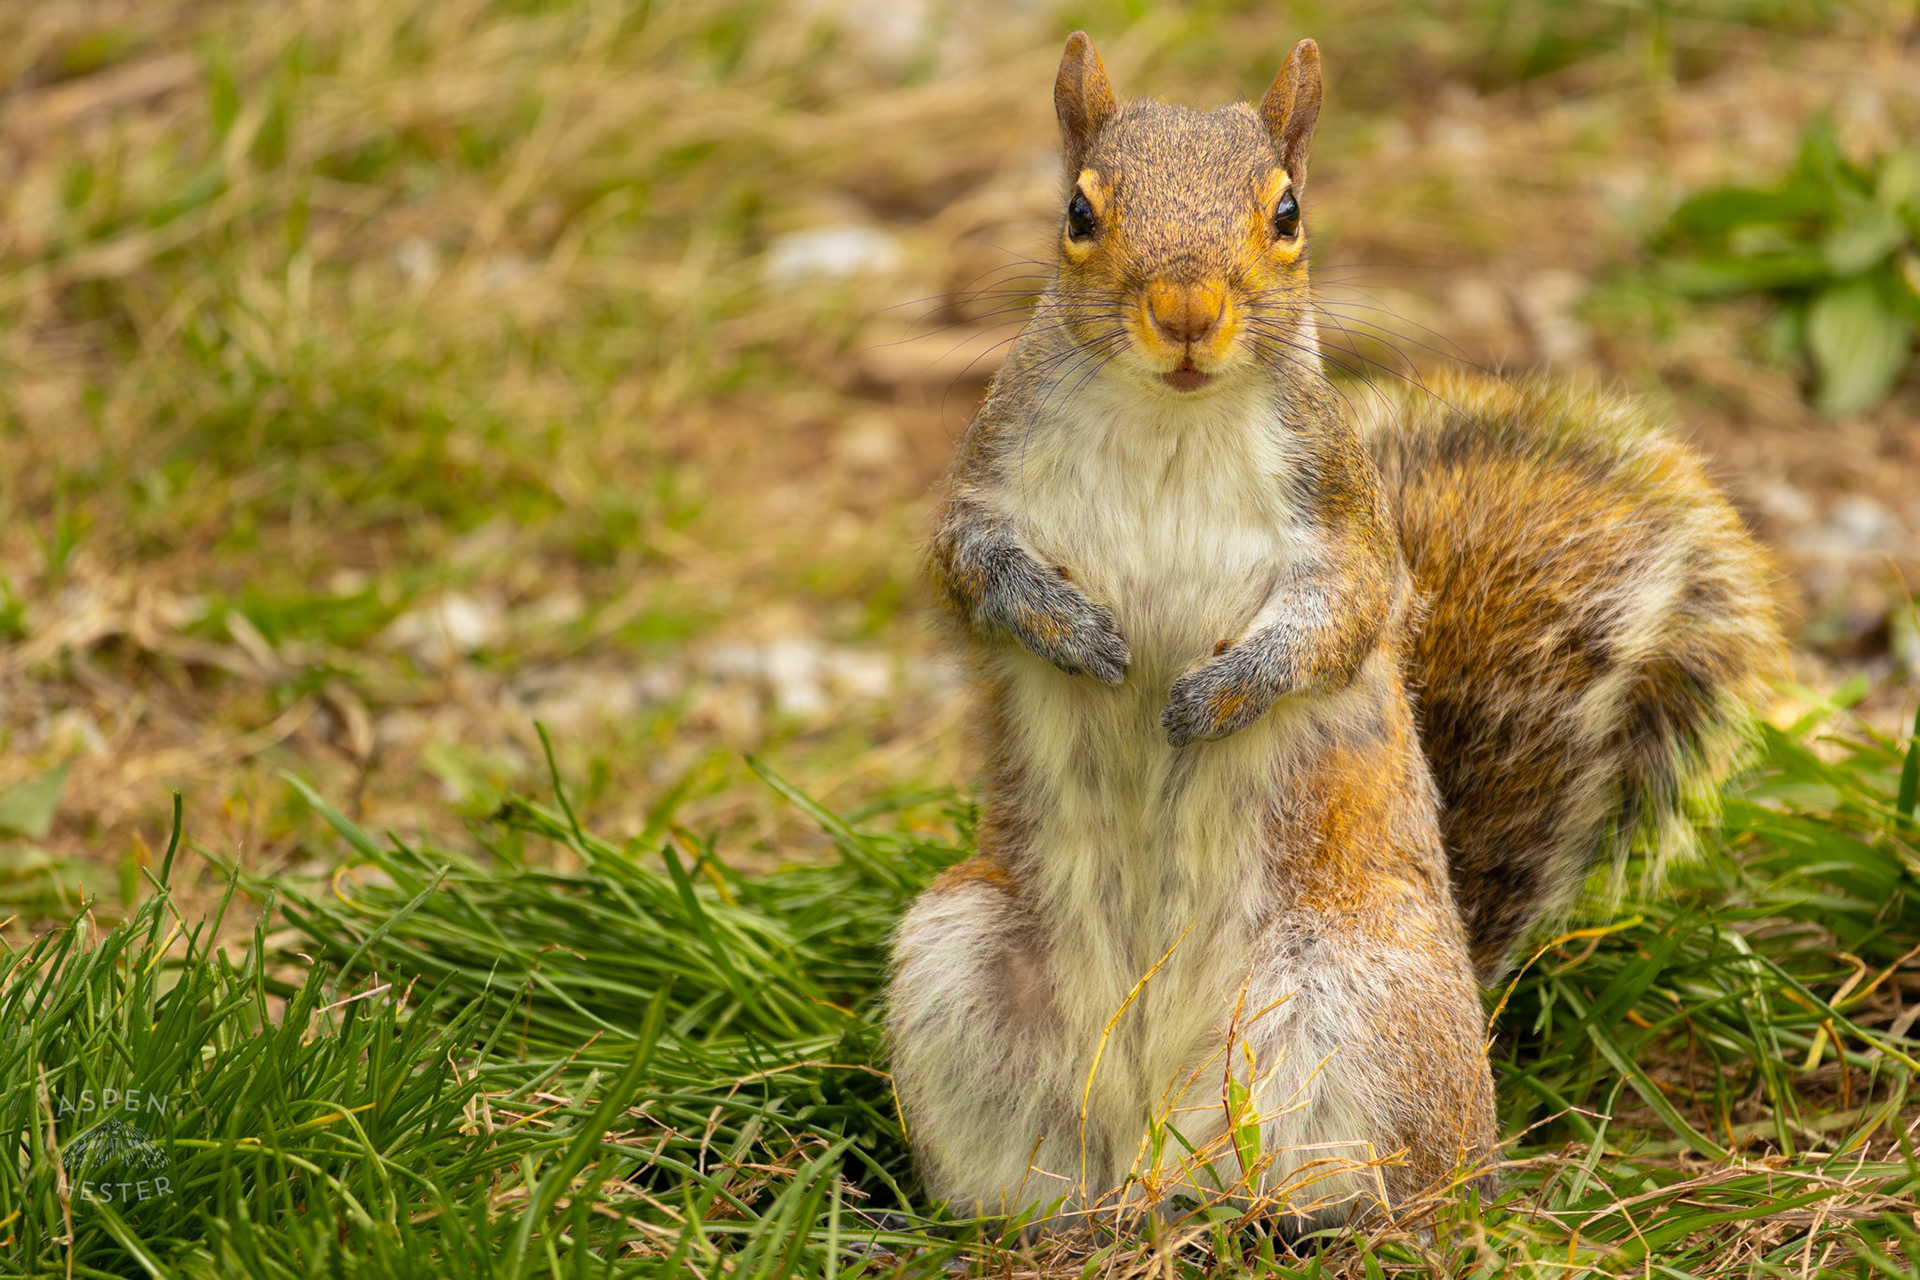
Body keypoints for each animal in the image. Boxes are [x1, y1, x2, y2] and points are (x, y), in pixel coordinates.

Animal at [885, 33, 1783, 1233]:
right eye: (1077, 211)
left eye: (1289, 211)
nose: (1185, 311)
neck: (1169, 418)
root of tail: (1151, 1135)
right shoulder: (984, 491)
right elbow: (974, 573)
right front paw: (1073, 631)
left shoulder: (1345, 525)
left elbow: (1339, 624)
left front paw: (1216, 693)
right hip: (960, 966)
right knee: (1044, 1164)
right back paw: (1064, 1219)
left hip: (1357, 1009)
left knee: (1385, 1179)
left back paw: (1295, 1216)